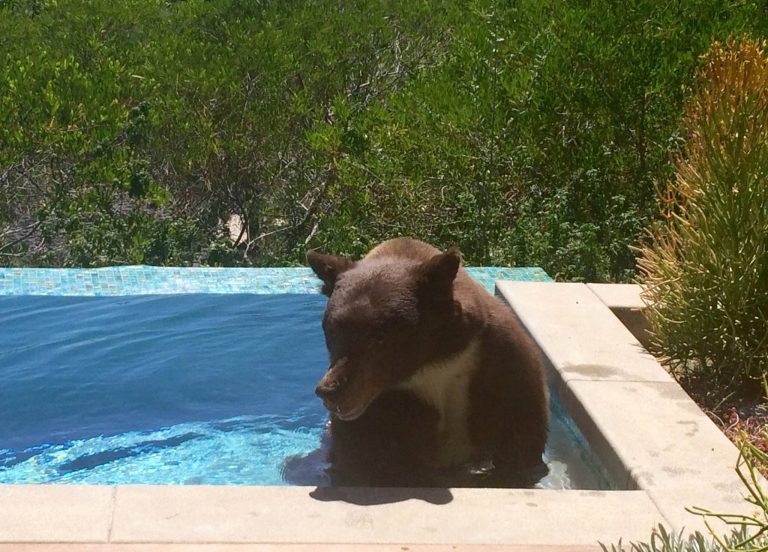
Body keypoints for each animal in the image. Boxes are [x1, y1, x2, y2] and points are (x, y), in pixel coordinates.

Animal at [306, 237, 544, 488]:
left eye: (379, 336)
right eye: (332, 331)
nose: (329, 390)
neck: (432, 360)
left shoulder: (498, 364)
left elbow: (519, 439)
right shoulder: (391, 405)